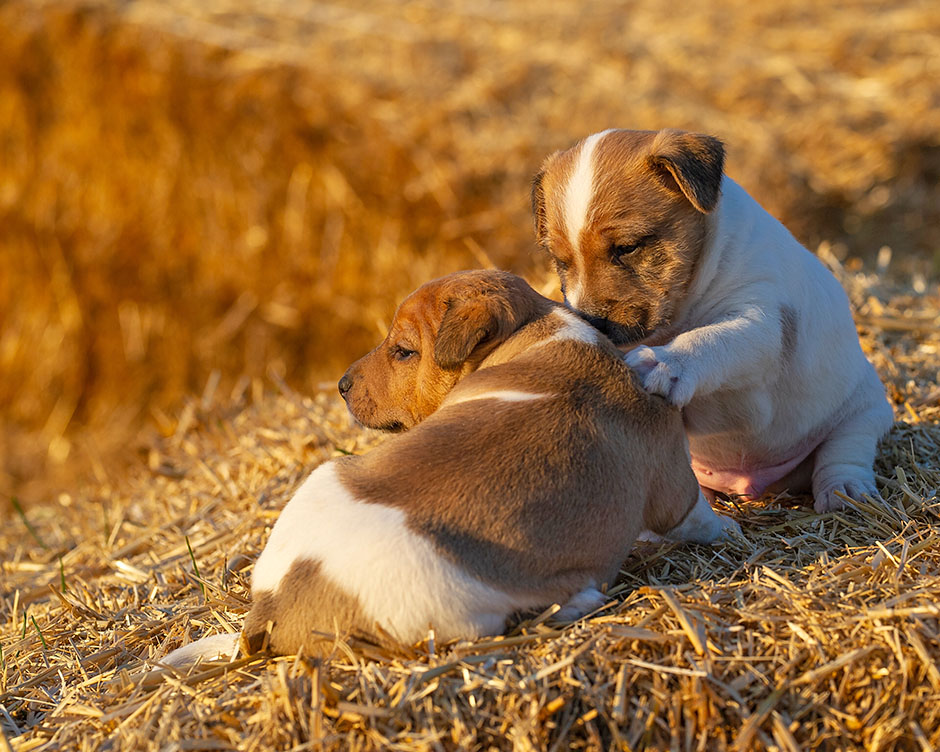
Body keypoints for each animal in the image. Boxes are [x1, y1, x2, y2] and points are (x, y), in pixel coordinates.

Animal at [532, 131, 892, 516]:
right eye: (560, 260)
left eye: (628, 247)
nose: (591, 321)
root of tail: (752, 483)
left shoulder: (760, 320)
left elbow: (711, 338)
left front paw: (664, 363)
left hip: (865, 411)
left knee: (843, 453)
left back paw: (845, 491)